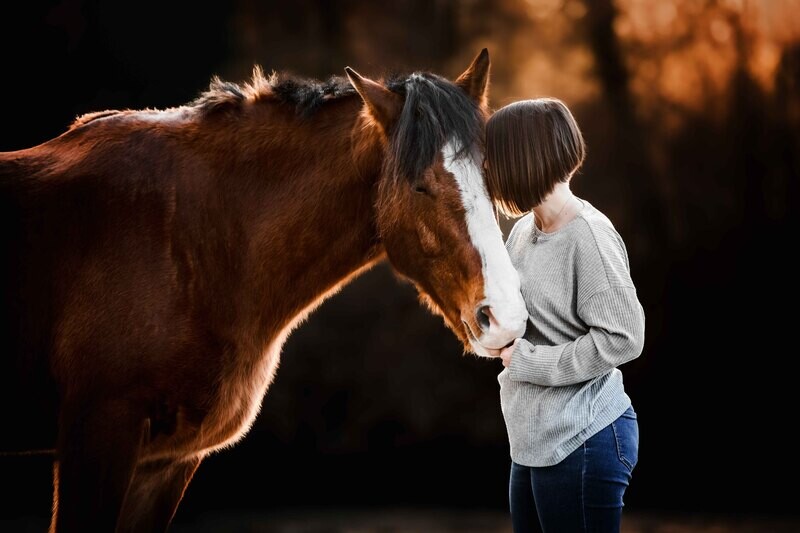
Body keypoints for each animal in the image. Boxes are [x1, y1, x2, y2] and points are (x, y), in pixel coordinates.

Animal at [0, 47, 528, 528]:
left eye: (493, 179)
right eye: (420, 185)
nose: (505, 317)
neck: (196, 239)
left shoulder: (163, 462)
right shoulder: (99, 432)